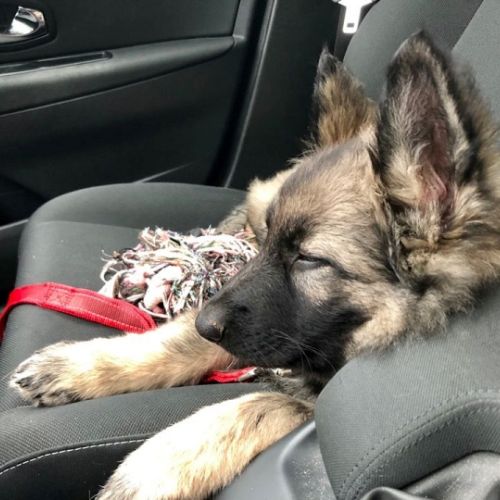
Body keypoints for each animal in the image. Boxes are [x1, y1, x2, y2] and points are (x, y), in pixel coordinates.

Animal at [10, 32, 500, 499]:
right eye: (272, 241)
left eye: (308, 259)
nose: (205, 320)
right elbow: (175, 345)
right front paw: (75, 366)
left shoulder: (304, 387)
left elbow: (259, 405)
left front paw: (153, 469)